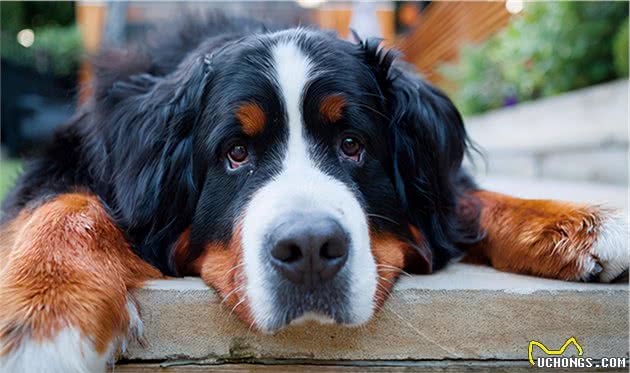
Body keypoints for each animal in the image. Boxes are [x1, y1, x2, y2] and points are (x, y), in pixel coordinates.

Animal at [0, 13, 628, 370]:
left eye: (353, 144)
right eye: (236, 153)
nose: (307, 250)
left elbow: (468, 199)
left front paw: (581, 221)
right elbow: (64, 206)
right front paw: (46, 321)